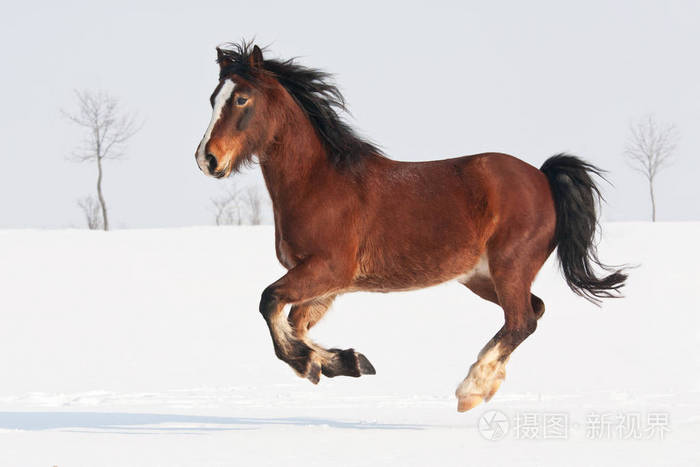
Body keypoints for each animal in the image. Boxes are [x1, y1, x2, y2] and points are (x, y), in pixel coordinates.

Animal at [194, 42, 627, 412]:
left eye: (241, 99)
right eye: (213, 98)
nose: (207, 159)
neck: (318, 183)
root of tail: (541, 177)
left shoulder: (327, 270)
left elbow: (270, 304)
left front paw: (310, 363)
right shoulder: (325, 285)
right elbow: (294, 324)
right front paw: (346, 362)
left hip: (510, 267)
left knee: (521, 320)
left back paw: (470, 391)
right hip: (480, 277)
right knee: (532, 312)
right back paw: (485, 384)